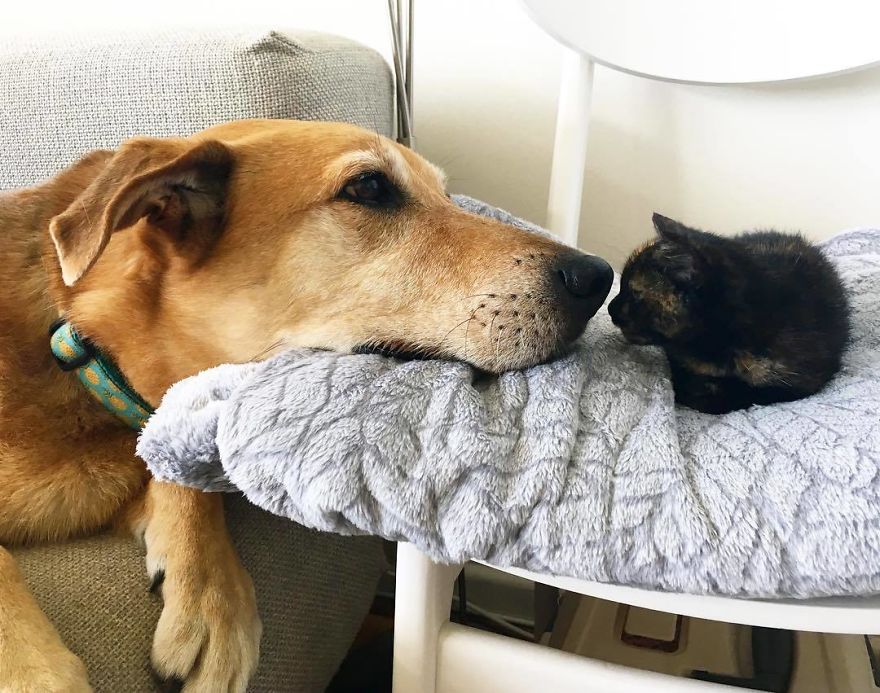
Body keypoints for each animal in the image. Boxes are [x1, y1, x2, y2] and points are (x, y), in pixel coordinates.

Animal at [0, 119, 612, 688]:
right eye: (369, 187)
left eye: (445, 194)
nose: (600, 276)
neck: (80, 346)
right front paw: (38, 672)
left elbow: (180, 461)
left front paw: (213, 595)